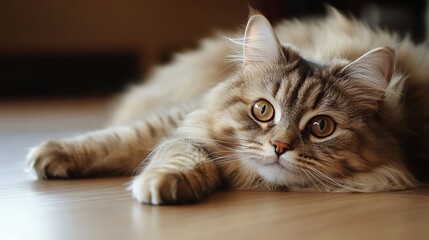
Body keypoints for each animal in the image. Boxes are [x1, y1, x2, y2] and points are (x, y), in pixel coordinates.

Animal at [26, 8, 428, 204]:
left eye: (321, 127)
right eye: (263, 111)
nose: (279, 146)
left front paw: (166, 181)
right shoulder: (189, 116)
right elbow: (137, 140)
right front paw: (52, 153)